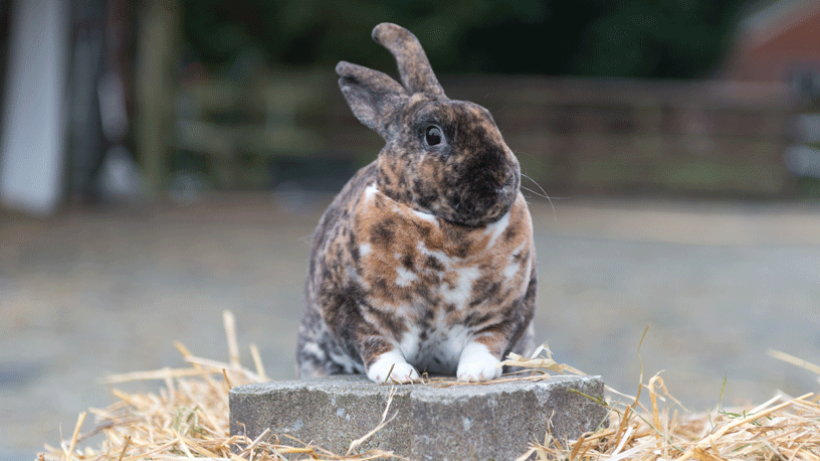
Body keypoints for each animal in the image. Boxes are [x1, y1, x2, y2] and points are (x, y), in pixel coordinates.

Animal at [296, 23, 540, 382]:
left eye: (490, 120)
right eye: (433, 134)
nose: (503, 178)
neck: (446, 231)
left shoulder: (506, 312)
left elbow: (487, 341)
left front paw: (477, 374)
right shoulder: (353, 309)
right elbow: (375, 342)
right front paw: (398, 375)